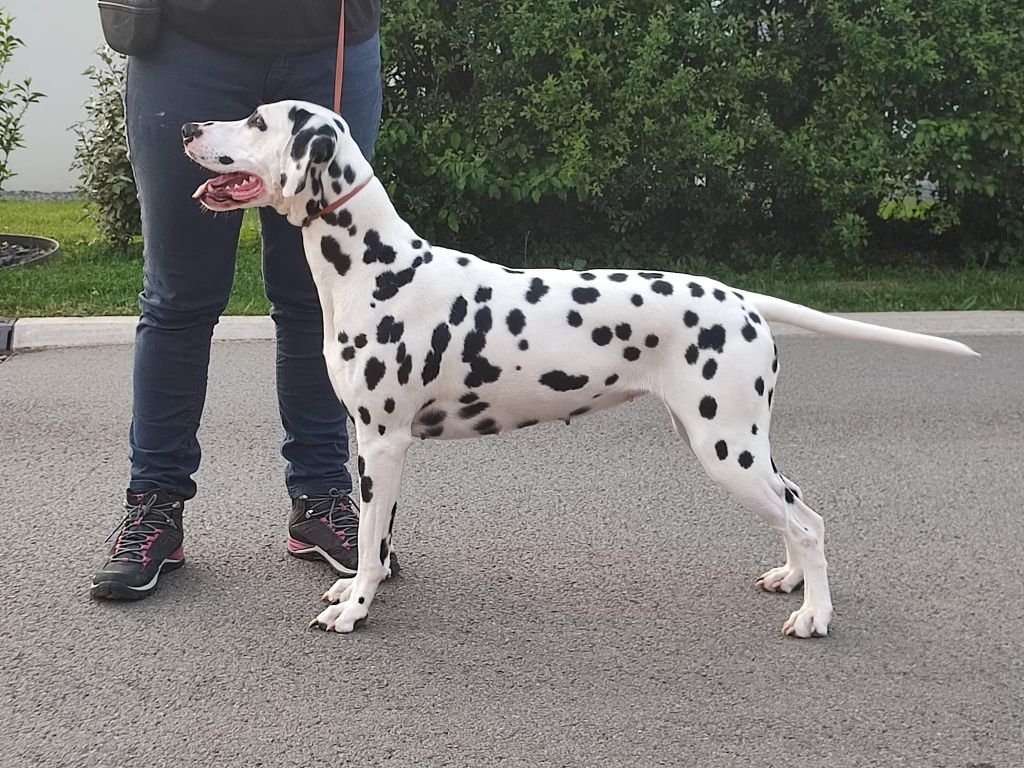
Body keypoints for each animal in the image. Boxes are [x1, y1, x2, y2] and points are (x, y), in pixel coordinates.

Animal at [180, 99, 978, 638]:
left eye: (255, 121)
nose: (186, 129)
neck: (380, 269)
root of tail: (744, 300)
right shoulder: (379, 448)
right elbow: (377, 537)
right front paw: (350, 593)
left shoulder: (383, 442)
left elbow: (374, 546)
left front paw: (356, 609)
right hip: (738, 441)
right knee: (796, 504)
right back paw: (790, 581)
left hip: (726, 446)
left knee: (809, 522)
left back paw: (815, 615)